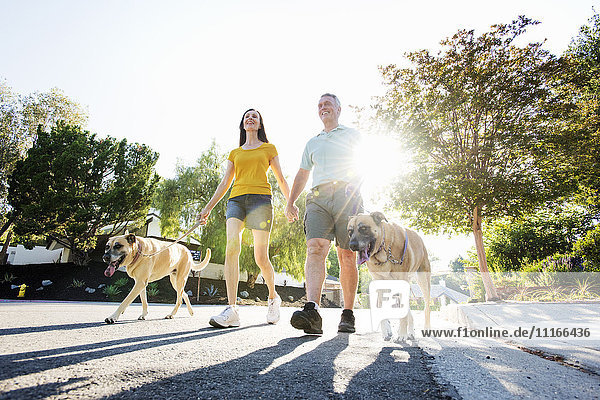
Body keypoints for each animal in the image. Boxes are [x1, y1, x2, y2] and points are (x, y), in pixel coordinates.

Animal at [346, 212, 432, 340]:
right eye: (350, 231)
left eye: (364, 228)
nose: (352, 245)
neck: (383, 250)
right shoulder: (379, 282)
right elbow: (381, 307)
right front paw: (386, 331)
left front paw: (402, 334)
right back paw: (410, 331)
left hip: (423, 280)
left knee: (427, 307)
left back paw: (425, 328)